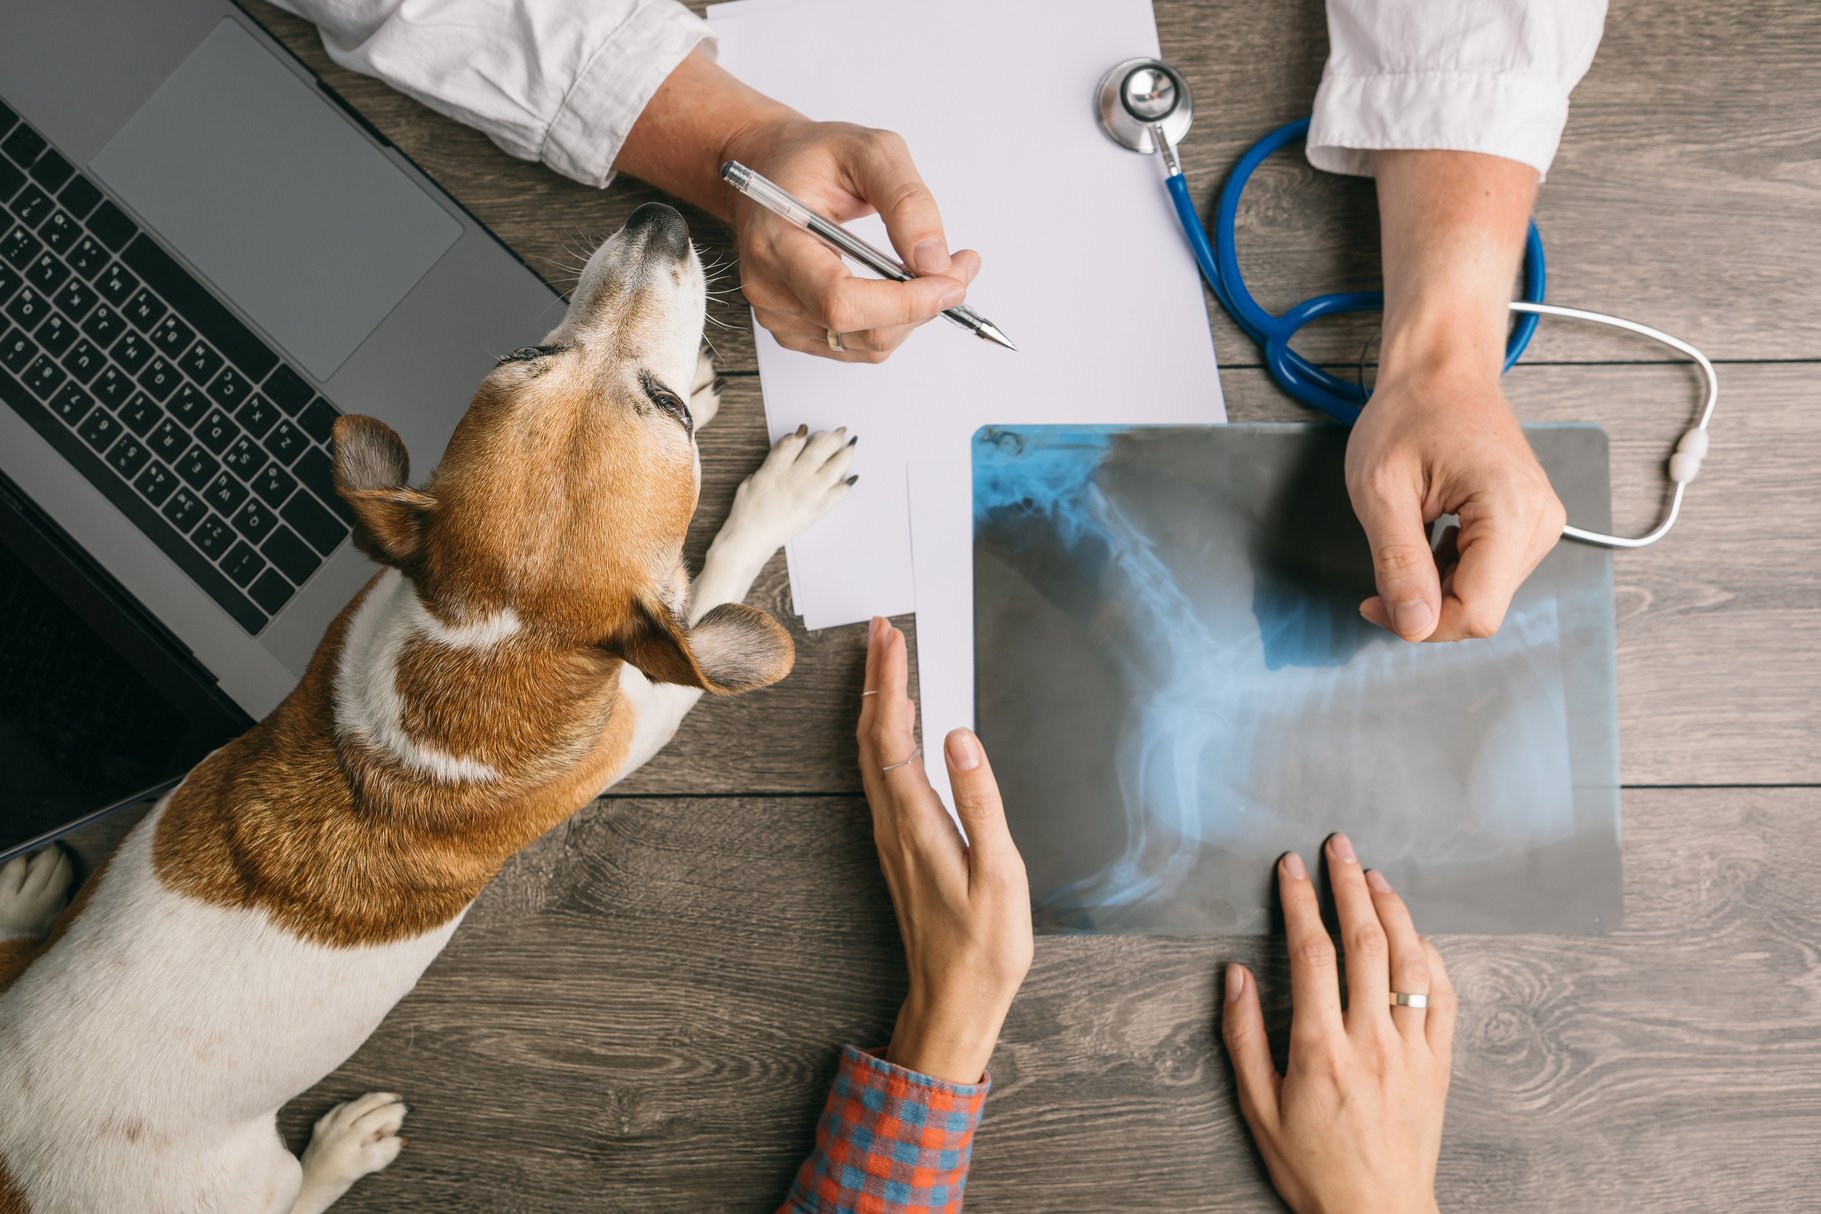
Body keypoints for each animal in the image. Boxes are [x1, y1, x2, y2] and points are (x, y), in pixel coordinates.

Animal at [0, 203, 852, 1208]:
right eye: (668, 415)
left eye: (529, 347)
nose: (658, 222)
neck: (488, 640)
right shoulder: (648, 704)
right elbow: (711, 575)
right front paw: (778, 495)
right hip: (247, 1181)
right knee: (299, 1192)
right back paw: (345, 1148)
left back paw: (21, 895)